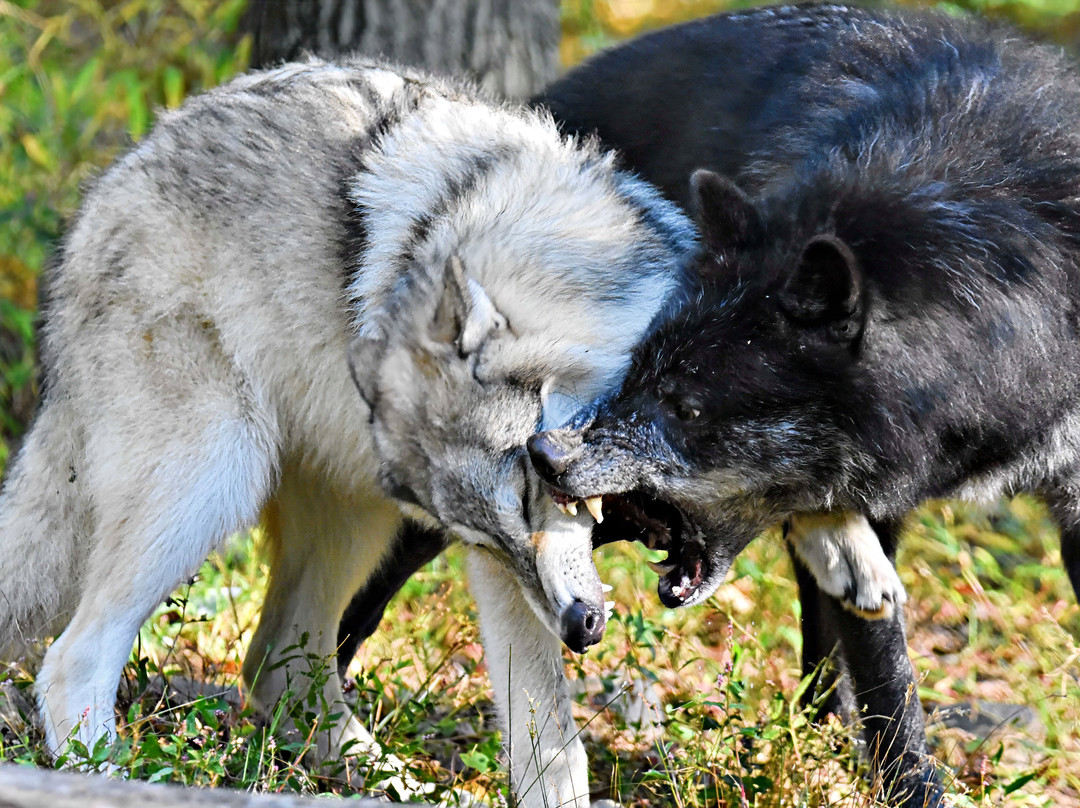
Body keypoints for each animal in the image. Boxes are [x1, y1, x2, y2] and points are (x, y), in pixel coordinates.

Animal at [0, 57, 696, 806]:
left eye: (525, 493)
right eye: (487, 532)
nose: (580, 628)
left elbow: (548, 741)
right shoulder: (502, 574)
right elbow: (557, 740)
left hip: (355, 519)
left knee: (275, 665)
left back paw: (390, 780)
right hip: (215, 480)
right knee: (75, 656)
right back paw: (114, 776)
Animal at [529, 4, 1080, 805]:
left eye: (687, 406)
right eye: (640, 375)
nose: (546, 455)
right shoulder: (876, 509)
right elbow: (888, 676)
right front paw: (910, 788)